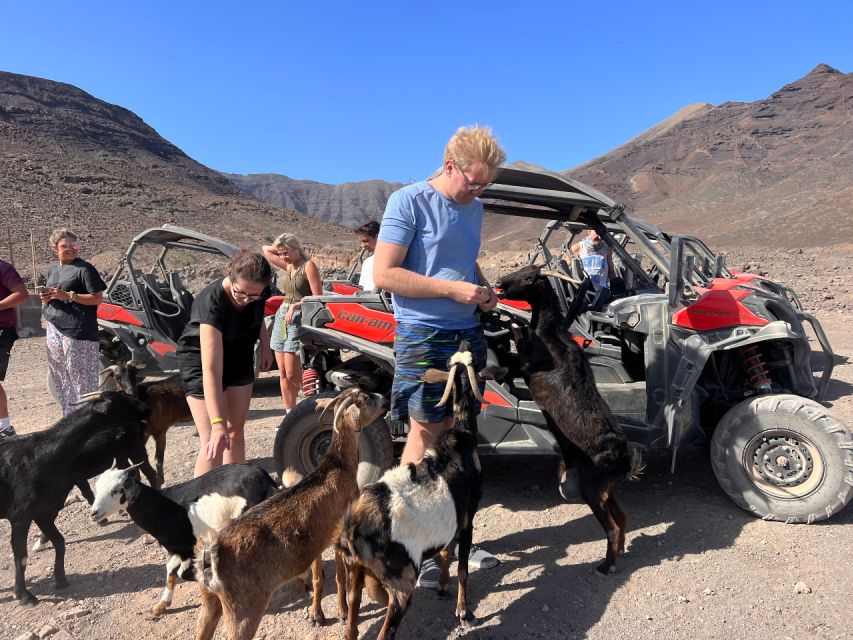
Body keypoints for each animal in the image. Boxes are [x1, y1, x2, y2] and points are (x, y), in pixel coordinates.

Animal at [0, 392, 151, 608]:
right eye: (119, 402)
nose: (147, 409)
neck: (43, 455)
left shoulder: (44, 511)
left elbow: (60, 541)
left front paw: (61, 579)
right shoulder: (21, 515)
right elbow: (21, 555)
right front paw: (24, 596)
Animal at [89, 462, 278, 616]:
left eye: (116, 490)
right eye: (97, 488)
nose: (94, 513)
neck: (164, 508)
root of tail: (266, 482)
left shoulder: (188, 548)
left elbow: (183, 572)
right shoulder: (176, 549)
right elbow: (171, 571)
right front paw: (161, 606)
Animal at [193, 384, 386, 640]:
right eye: (366, 398)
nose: (385, 400)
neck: (337, 466)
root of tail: (209, 556)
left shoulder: (318, 541)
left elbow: (319, 576)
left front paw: (318, 615)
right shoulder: (339, 533)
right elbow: (339, 577)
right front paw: (342, 613)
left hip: (210, 601)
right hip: (243, 610)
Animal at [336, 342, 502, 640]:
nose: (464, 343)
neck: (461, 437)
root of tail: (355, 526)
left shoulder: (448, 523)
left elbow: (446, 552)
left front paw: (443, 586)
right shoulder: (467, 516)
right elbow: (462, 567)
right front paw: (464, 612)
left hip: (354, 569)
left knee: (352, 619)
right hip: (401, 582)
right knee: (385, 632)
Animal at [496, 264, 644, 576]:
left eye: (530, 278)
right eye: (522, 269)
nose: (500, 283)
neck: (549, 335)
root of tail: (623, 458)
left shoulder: (525, 366)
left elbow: (509, 355)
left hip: (591, 489)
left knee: (612, 527)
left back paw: (606, 566)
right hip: (604, 489)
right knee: (623, 518)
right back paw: (620, 553)